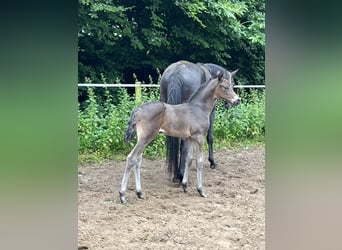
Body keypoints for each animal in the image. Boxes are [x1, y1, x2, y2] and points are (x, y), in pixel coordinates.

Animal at [119, 71, 240, 204]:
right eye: (225, 87)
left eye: (232, 85)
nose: (237, 100)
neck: (198, 108)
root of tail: (138, 109)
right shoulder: (199, 137)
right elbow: (199, 161)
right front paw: (200, 190)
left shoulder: (190, 138)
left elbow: (189, 159)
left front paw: (185, 186)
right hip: (146, 138)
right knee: (131, 158)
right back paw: (123, 196)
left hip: (142, 139)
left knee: (138, 160)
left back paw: (139, 193)